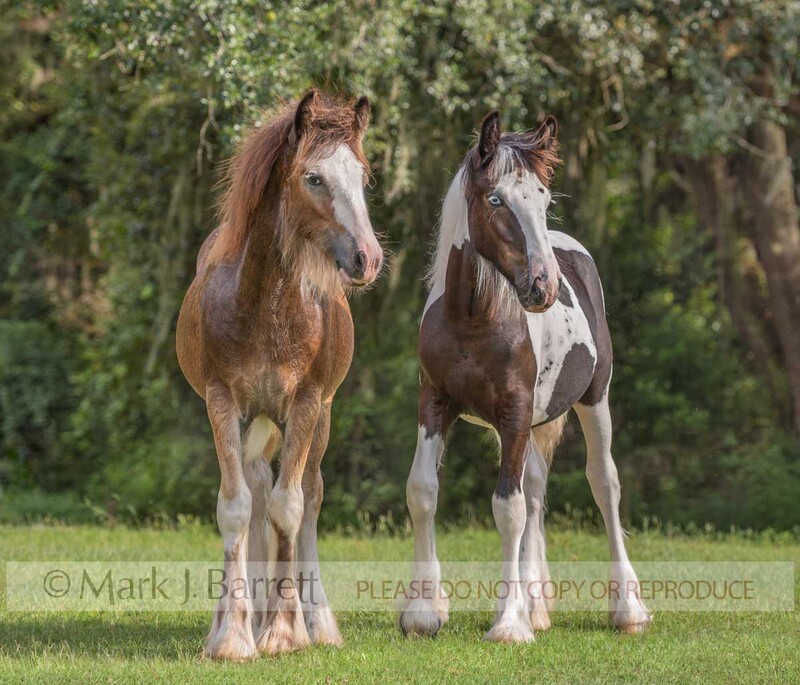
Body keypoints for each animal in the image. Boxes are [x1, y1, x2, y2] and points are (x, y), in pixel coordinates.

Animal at [176, 90, 383, 660]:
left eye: (362, 177)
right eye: (313, 177)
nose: (368, 258)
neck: (266, 305)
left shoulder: (307, 403)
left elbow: (290, 508)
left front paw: (286, 632)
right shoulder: (222, 403)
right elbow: (235, 508)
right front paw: (231, 636)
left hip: (321, 418)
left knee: (309, 495)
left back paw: (318, 623)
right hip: (256, 421)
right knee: (256, 490)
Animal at [398, 110, 652, 642]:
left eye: (544, 199)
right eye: (496, 199)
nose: (543, 286)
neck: (473, 320)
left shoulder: (514, 414)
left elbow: (507, 509)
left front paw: (510, 624)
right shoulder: (435, 404)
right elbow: (423, 491)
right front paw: (424, 610)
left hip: (594, 399)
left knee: (604, 484)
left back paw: (628, 610)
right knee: (535, 488)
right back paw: (537, 605)